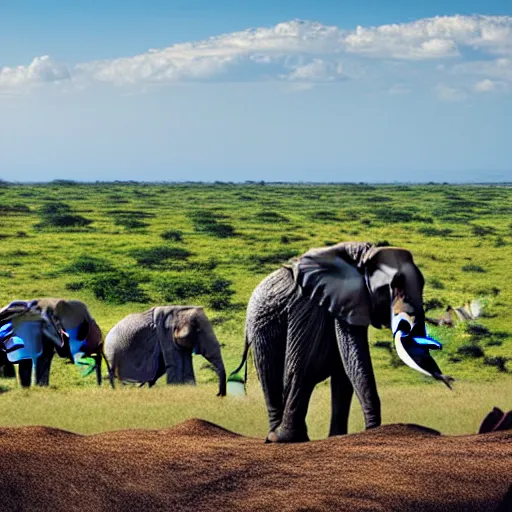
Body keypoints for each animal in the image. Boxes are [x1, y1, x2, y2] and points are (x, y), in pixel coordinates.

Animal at [232, 242, 452, 442]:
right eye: (389, 289)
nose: (448, 381)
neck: (361, 258)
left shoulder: (352, 302)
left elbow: (346, 371)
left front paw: (336, 437)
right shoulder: (311, 304)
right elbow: (308, 365)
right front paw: (288, 439)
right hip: (260, 329)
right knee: (274, 375)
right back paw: (278, 438)